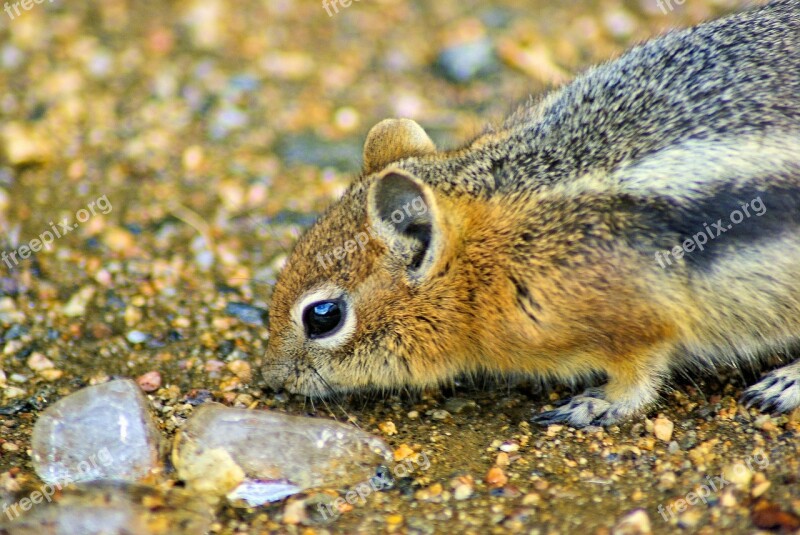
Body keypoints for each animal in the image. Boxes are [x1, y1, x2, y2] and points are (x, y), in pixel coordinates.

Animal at [266, 0, 800, 428]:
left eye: (323, 317)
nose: (269, 376)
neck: (491, 258)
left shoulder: (641, 321)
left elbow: (640, 376)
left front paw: (597, 404)